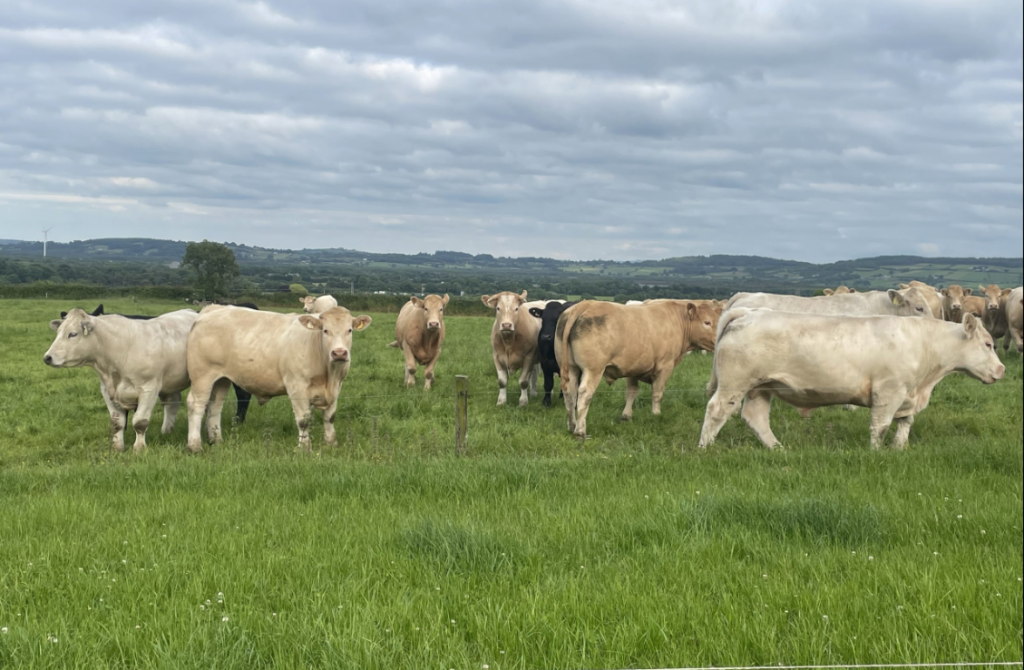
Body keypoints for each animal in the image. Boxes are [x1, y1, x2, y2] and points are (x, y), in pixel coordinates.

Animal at [44, 308, 200, 453]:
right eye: (58, 332)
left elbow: (140, 422)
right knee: (172, 403)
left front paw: (139, 448)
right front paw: (117, 448)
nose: (47, 357)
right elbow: (117, 423)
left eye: (73, 334)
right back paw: (166, 431)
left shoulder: (149, 388)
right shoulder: (107, 391)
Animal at [185, 306, 372, 453]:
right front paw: (305, 448)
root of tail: (213, 309)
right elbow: (303, 421)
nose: (339, 353)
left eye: (349, 330)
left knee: (215, 407)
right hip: (202, 375)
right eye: (325, 330)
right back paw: (195, 446)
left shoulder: (337, 386)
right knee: (196, 405)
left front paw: (331, 444)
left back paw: (216, 440)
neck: (328, 373)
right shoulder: (296, 386)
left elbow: (329, 417)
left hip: (221, 379)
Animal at [556, 300, 720, 439]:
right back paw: (580, 431)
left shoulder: (633, 367)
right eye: (707, 322)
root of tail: (585, 304)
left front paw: (626, 416)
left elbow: (631, 392)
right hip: (593, 369)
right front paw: (656, 414)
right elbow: (657, 394)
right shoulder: (665, 367)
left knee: (570, 394)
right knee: (584, 395)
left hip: (571, 368)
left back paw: (571, 426)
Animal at [699, 310, 1005, 451]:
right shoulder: (889, 391)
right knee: (716, 411)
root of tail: (751, 312)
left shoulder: (907, 394)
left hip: (761, 387)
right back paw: (705, 448)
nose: (1001, 370)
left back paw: (778, 449)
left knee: (756, 418)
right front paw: (876, 452)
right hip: (735, 383)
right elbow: (880, 426)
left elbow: (905, 423)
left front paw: (899, 448)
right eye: (988, 344)